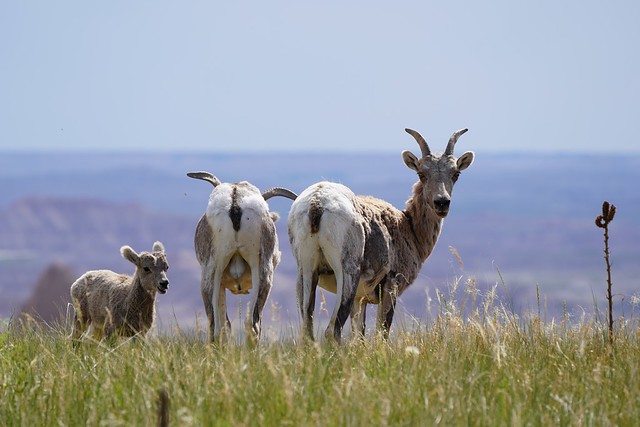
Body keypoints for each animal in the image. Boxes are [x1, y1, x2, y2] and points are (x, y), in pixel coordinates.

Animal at [288, 128, 474, 342]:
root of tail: (316, 204)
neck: (409, 228)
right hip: (347, 273)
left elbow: (359, 335)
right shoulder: (390, 286)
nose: (441, 202)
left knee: (307, 330)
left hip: (306, 271)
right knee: (332, 330)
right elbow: (382, 332)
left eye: (456, 173)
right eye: (421, 173)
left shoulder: (360, 300)